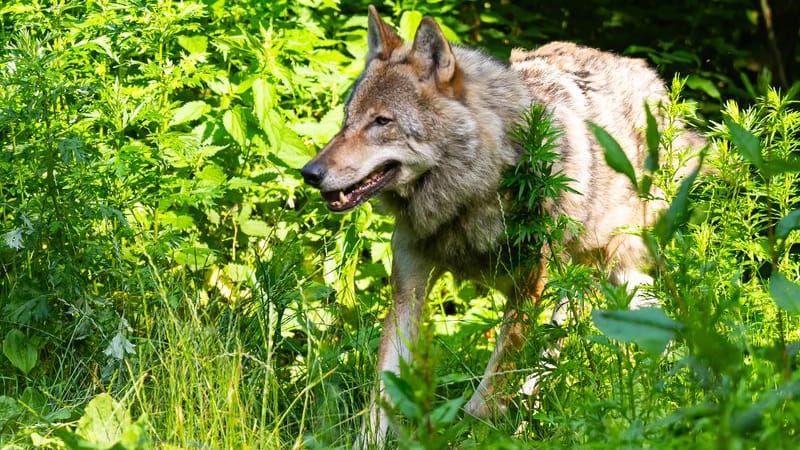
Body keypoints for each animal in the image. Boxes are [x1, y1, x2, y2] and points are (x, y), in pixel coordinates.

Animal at [301, 5, 703, 446]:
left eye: (382, 121)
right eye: (346, 120)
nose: (310, 173)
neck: (467, 198)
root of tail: (649, 75)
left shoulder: (528, 290)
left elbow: (486, 397)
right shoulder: (409, 291)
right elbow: (380, 400)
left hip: (603, 273)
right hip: (590, 284)